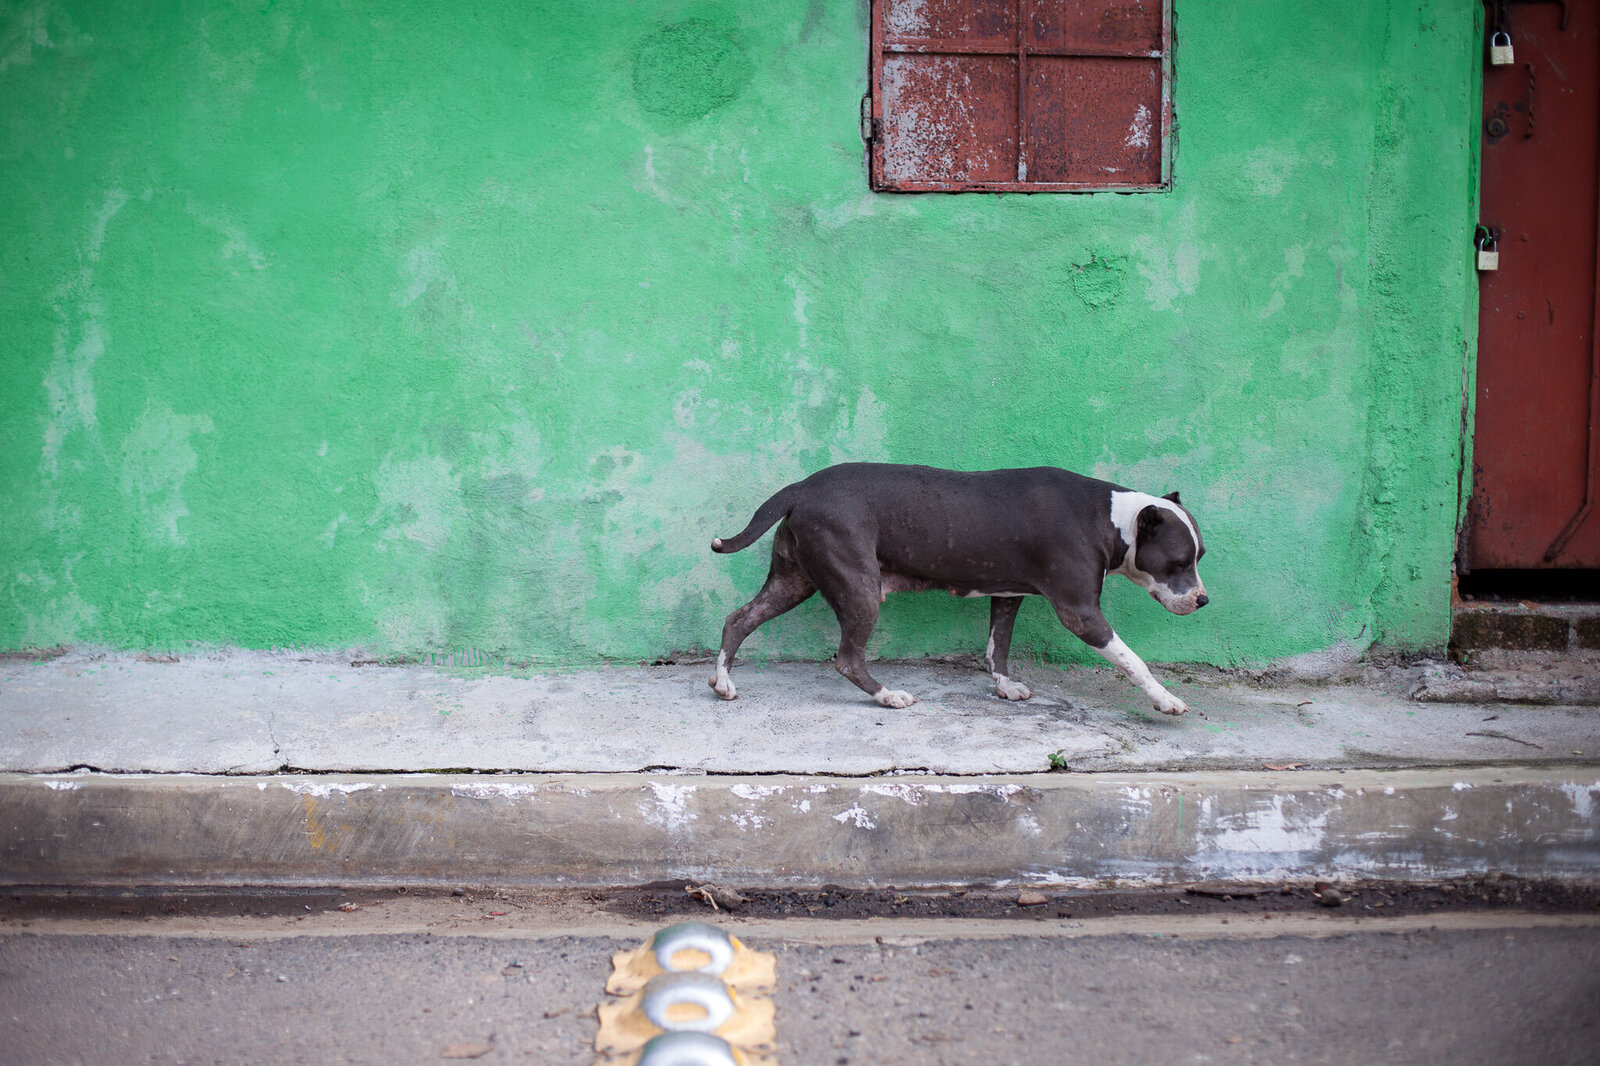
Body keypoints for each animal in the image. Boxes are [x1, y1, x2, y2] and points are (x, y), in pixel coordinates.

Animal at [707, 460, 1203, 710]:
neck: (1109, 519)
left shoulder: (1007, 594)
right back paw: (887, 695)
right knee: (848, 659)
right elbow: (1133, 661)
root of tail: (802, 487)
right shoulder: (1080, 612)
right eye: (1179, 562)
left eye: (1201, 558)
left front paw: (1004, 686)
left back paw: (723, 682)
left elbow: (997, 648)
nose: (1203, 599)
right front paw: (1166, 699)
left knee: (739, 619)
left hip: (794, 580)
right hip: (859, 587)